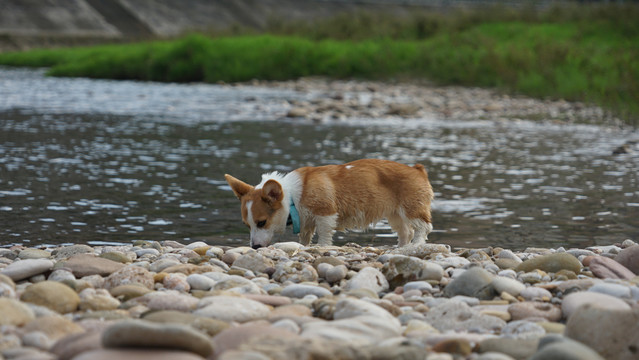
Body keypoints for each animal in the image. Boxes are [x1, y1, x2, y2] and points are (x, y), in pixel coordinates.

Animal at [225, 159, 436, 249]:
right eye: (247, 225)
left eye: (262, 222)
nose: (254, 247)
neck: (293, 196)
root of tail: (418, 170)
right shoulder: (307, 221)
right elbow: (305, 237)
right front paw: (305, 246)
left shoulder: (325, 212)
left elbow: (325, 233)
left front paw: (322, 246)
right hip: (395, 215)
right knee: (405, 231)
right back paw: (400, 247)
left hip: (412, 209)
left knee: (423, 228)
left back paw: (416, 244)